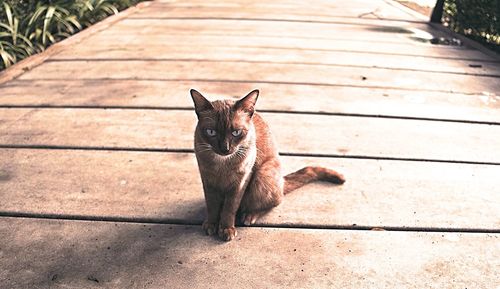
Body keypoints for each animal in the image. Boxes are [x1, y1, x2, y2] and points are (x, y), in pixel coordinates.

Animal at [189, 88, 346, 241]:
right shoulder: (207, 179)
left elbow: (230, 208)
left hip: (262, 176)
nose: (225, 149)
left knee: (274, 202)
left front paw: (226, 229)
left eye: (236, 132)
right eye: (211, 132)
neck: (222, 165)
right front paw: (211, 224)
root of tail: (282, 181)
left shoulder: (240, 182)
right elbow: (212, 205)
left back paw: (249, 216)